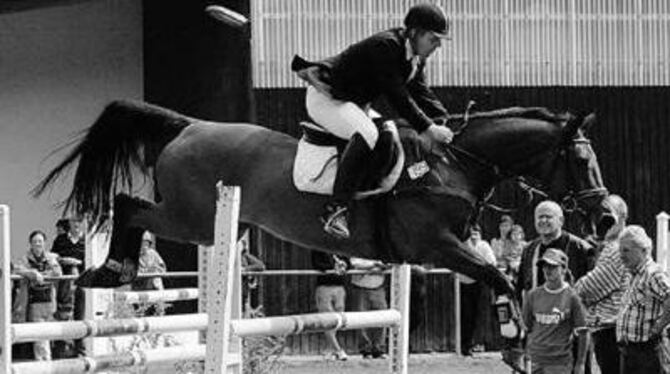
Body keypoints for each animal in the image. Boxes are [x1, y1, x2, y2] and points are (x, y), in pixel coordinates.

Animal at [34, 101, 616, 300]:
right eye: (581, 161)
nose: (607, 217)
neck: (454, 164)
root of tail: (191, 126)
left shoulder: (450, 247)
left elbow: (507, 277)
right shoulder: (437, 246)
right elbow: (500, 279)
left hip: (212, 222)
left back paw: (109, 272)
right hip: (192, 215)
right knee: (129, 205)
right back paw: (109, 272)